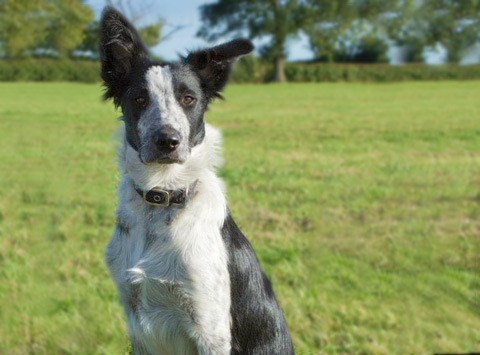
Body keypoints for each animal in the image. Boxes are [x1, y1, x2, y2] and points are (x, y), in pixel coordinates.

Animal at [101, 6, 294, 354]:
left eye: (188, 99)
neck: (162, 196)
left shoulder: (211, 330)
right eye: (139, 99)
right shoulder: (136, 322)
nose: (168, 140)